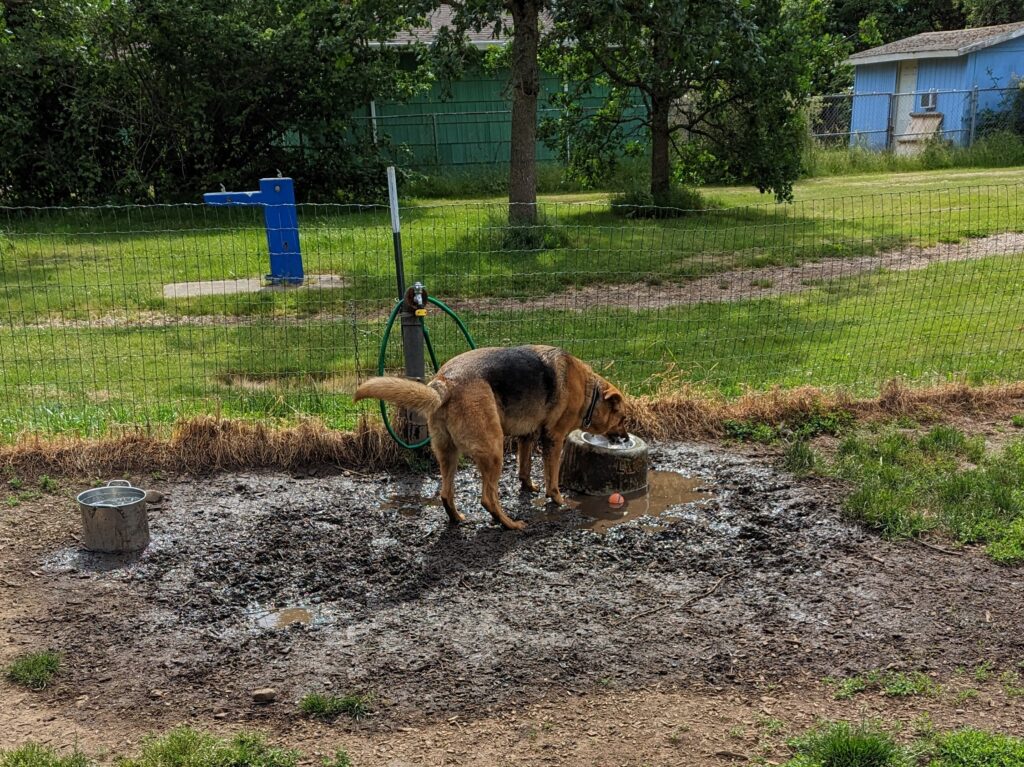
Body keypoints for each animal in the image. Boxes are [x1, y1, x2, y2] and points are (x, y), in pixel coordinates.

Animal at [354, 346, 622, 528]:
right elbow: (552, 478)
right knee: (487, 498)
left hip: (449, 454)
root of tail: (445, 383)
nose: (622, 439)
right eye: (622, 419)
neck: (590, 391)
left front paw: (529, 486)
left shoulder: (527, 436)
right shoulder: (554, 439)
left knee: (446, 493)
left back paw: (457, 518)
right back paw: (510, 524)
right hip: (494, 451)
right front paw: (557, 499)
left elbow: (524, 468)